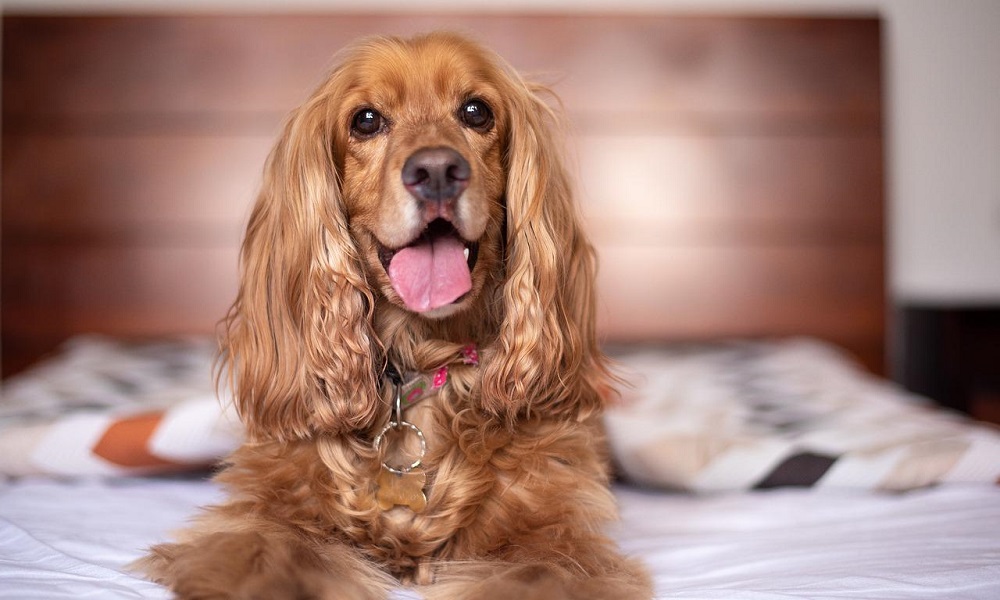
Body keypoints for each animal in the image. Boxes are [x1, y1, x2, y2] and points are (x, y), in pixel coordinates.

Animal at [139, 31, 656, 600]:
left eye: (476, 111)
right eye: (366, 120)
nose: (436, 171)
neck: (420, 357)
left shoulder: (558, 540)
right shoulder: (263, 519)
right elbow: (278, 558)